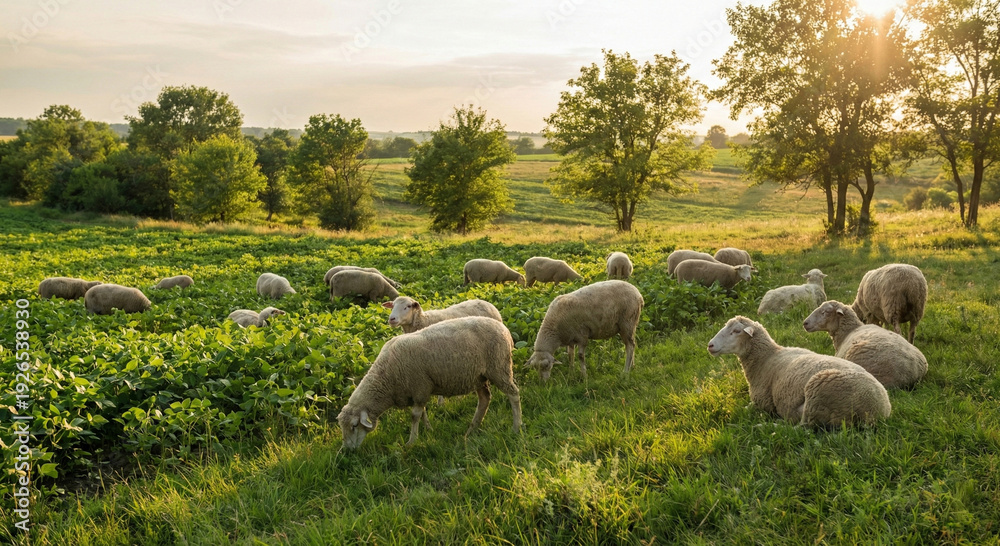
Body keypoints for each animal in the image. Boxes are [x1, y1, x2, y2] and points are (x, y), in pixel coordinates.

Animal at [337, 316, 522, 449]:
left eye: (354, 426)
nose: (347, 451)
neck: (386, 378)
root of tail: (504, 328)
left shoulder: (420, 387)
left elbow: (415, 416)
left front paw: (412, 441)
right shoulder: (418, 391)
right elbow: (423, 412)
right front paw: (428, 430)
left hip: (499, 367)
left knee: (513, 394)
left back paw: (516, 427)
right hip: (479, 376)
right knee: (484, 399)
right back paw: (472, 429)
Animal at [708, 315, 891, 427]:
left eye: (736, 331)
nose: (710, 345)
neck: (766, 358)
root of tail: (878, 409)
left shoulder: (763, 403)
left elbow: (745, 408)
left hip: (818, 396)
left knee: (801, 428)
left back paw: (767, 426)